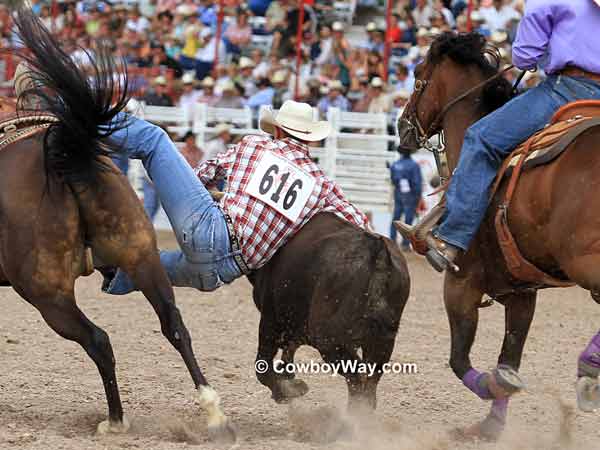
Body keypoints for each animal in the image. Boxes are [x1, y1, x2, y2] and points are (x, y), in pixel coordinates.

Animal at [2, 9, 236, 442]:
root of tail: (65, 151)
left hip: (47, 295)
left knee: (99, 340)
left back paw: (115, 420)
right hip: (140, 254)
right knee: (174, 325)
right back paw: (215, 416)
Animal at [398, 34, 600, 440]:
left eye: (417, 75)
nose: (402, 125)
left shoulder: (460, 283)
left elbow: (459, 358)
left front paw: (492, 385)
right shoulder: (521, 293)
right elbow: (510, 355)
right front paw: (491, 424)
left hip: (586, 262)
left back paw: (589, 367)